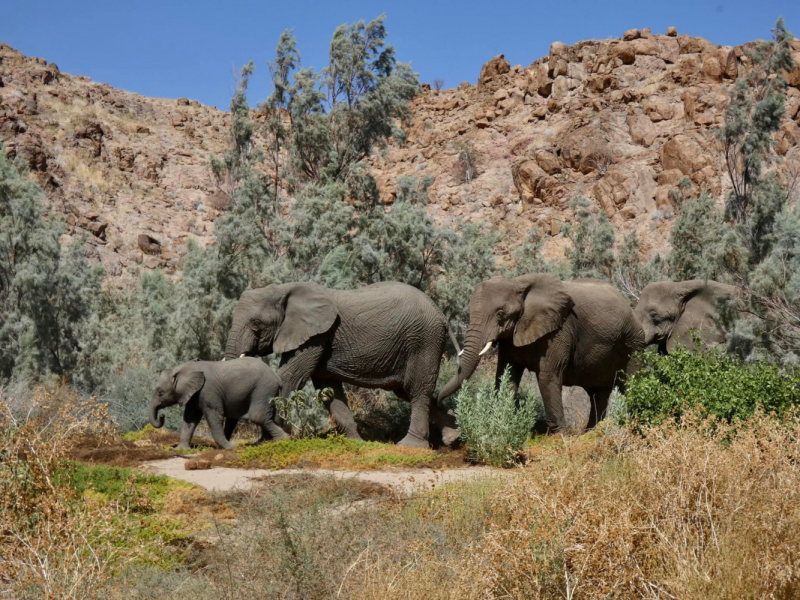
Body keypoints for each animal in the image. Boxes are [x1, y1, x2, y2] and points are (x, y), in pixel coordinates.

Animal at [148, 356, 290, 450]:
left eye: (160, 392)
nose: (162, 416)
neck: (183, 368)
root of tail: (277, 377)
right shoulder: (195, 394)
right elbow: (190, 418)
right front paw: (181, 450)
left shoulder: (208, 391)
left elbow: (214, 417)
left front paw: (231, 448)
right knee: (270, 417)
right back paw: (264, 443)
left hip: (263, 389)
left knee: (258, 416)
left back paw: (285, 440)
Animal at [222, 280, 460, 446]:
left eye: (256, 324)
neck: (283, 290)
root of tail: (440, 312)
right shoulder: (319, 338)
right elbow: (330, 390)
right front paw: (355, 442)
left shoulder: (316, 336)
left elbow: (289, 376)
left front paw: (268, 442)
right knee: (409, 391)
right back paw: (453, 437)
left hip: (423, 340)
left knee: (417, 390)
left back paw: (411, 446)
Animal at [438, 274, 644, 434]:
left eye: (500, 313)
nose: (439, 401)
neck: (517, 283)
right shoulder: (511, 337)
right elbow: (506, 376)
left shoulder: (559, 330)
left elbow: (547, 376)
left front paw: (561, 434)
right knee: (597, 393)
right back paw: (591, 432)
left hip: (633, 343)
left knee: (630, 384)